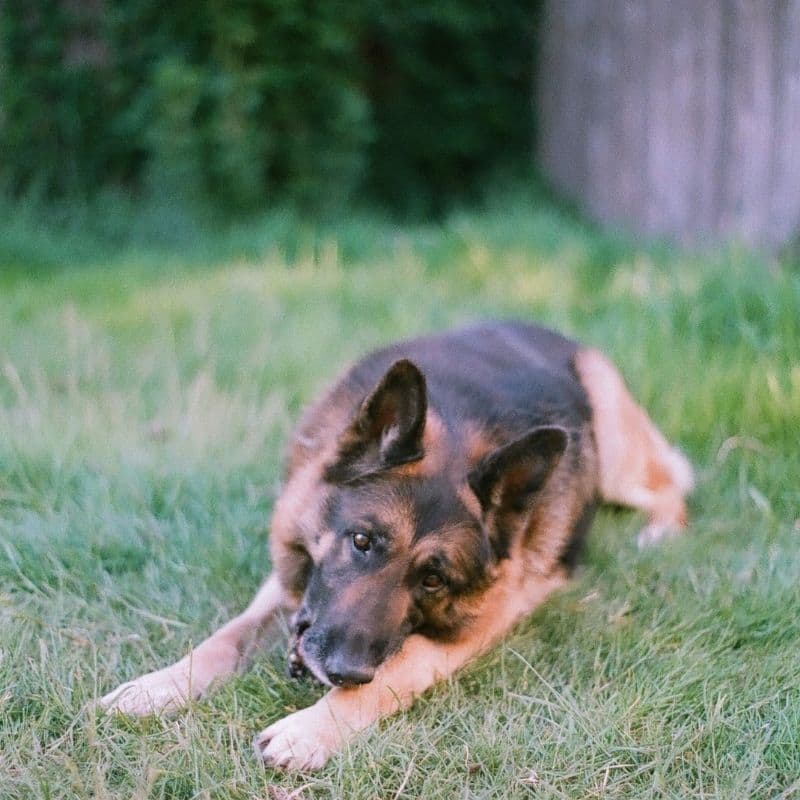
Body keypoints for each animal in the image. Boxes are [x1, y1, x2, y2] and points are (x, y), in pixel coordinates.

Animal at [101, 322, 692, 772]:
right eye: (362, 542)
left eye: (433, 579)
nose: (342, 670)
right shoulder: (295, 580)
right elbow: (226, 637)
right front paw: (158, 686)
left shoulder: (477, 624)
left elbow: (394, 673)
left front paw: (310, 729)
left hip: (616, 457)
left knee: (675, 486)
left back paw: (660, 532)